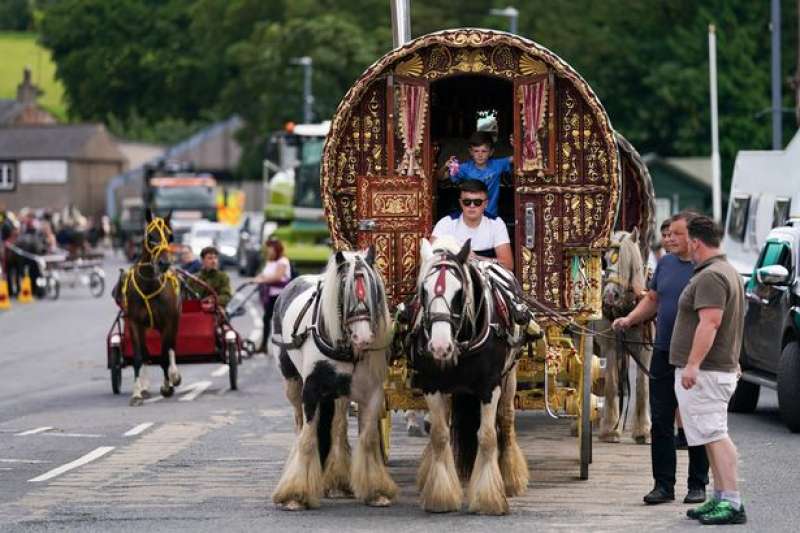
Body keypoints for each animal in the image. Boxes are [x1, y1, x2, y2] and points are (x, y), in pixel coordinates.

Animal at [112, 210, 181, 406]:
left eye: (170, 236)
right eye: (151, 236)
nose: (164, 263)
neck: (148, 286)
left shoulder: (167, 322)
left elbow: (164, 355)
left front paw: (167, 386)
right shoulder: (135, 323)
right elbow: (139, 356)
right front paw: (137, 393)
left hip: (174, 321)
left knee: (171, 347)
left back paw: (174, 376)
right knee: (146, 354)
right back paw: (144, 387)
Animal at [268, 247, 396, 510]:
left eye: (372, 288)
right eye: (345, 287)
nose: (363, 338)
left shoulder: (373, 393)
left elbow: (367, 440)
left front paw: (376, 491)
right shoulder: (311, 392)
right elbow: (308, 438)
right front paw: (295, 495)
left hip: (341, 392)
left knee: (337, 426)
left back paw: (337, 481)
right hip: (293, 384)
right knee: (299, 426)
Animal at [400, 235, 536, 512]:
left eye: (459, 292)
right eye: (423, 291)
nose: (440, 346)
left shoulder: (489, 386)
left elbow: (487, 436)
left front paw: (489, 499)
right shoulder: (432, 385)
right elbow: (440, 435)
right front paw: (440, 496)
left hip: (510, 375)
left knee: (506, 420)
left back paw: (510, 479)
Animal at [596, 231, 652, 442]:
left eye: (627, 261)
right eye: (604, 260)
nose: (609, 296)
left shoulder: (644, 348)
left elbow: (641, 386)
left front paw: (642, 430)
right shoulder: (611, 346)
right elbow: (611, 384)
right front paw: (609, 429)